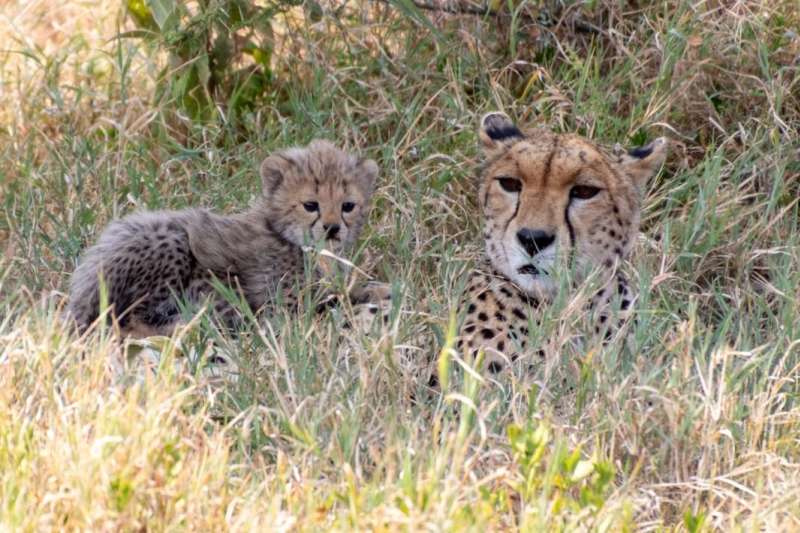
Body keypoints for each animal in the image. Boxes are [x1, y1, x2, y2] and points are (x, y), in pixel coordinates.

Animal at [66, 139, 380, 338]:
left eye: (348, 206)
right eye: (310, 205)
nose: (332, 228)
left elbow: (353, 289)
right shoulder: (284, 308)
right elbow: (331, 304)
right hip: (168, 239)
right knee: (127, 322)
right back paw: (190, 326)